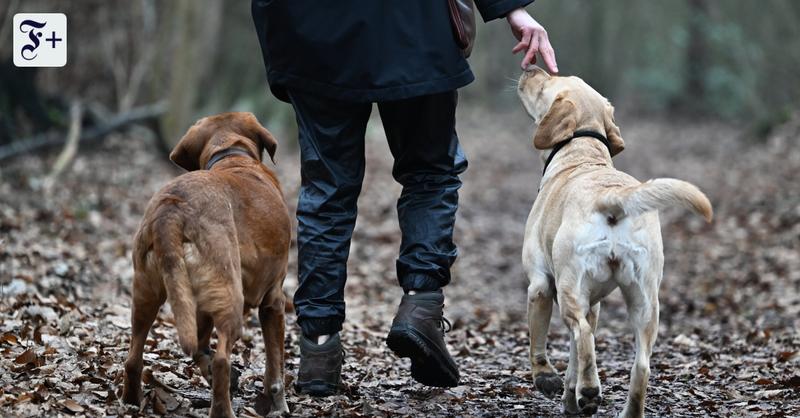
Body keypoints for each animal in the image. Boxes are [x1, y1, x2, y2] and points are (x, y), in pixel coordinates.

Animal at [122, 112, 290, 418]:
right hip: (231, 298)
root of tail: (172, 209)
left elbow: (200, 345)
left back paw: (131, 400)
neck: (231, 154)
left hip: (146, 294)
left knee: (134, 357)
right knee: (223, 359)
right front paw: (278, 406)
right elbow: (275, 371)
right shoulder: (273, 302)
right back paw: (223, 408)